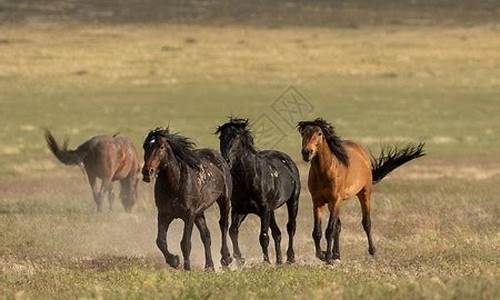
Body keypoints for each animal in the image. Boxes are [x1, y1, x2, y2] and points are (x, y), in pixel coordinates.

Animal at [142, 127, 233, 270]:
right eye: (145, 146)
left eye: (161, 147)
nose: (147, 172)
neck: (176, 184)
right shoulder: (164, 214)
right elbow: (160, 241)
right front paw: (174, 260)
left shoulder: (189, 214)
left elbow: (185, 243)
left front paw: (187, 268)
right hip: (199, 212)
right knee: (206, 236)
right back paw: (209, 266)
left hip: (224, 201)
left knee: (223, 225)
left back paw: (226, 259)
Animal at [216, 118, 300, 264]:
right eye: (221, 137)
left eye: (236, 137)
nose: (226, 160)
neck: (249, 179)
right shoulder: (240, 210)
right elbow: (233, 231)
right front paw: (239, 259)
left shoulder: (264, 209)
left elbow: (263, 236)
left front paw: (266, 262)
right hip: (271, 211)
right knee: (277, 233)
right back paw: (279, 261)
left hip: (292, 201)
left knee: (290, 227)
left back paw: (290, 258)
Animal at [296, 118, 426, 264]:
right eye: (303, 133)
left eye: (319, 133)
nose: (307, 152)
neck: (324, 171)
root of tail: (361, 151)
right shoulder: (317, 201)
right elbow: (317, 232)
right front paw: (322, 254)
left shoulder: (335, 200)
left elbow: (329, 230)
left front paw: (328, 257)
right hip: (333, 203)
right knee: (338, 226)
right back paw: (337, 254)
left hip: (364, 193)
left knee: (366, 222)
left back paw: (372, 250)